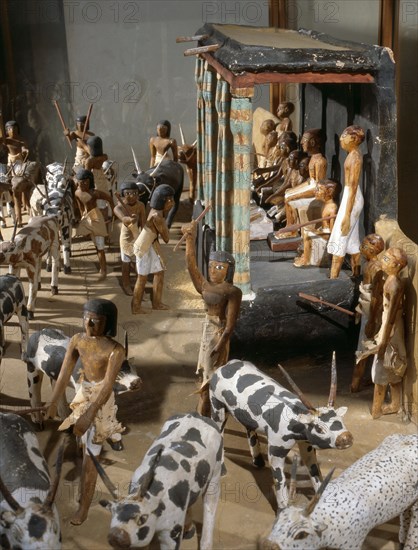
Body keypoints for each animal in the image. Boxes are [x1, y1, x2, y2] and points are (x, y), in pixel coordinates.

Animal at [91, 416, 222, 548]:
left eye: (143, 518)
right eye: (113, 512)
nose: (116, 536)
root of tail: (196, 415)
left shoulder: (171, 534)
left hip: (215, 476)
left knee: (210, 505)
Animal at [209, 356, 352, 512]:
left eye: (340, 421)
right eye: (320, 428)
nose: (346, 438)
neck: (294, 419)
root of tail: (226, 365)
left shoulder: (307, 447)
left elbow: (316, 475)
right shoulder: (275, 453)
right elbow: (280, 483)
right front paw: (283, 510)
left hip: (244, 415)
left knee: (249, 428)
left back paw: (258, 462)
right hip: (218, 408)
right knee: (218, 432)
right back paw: (222, 470)